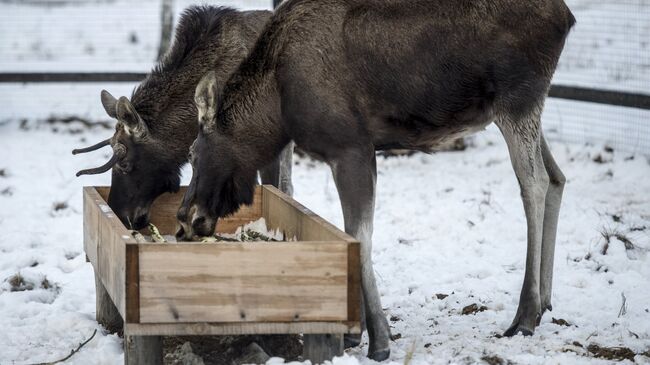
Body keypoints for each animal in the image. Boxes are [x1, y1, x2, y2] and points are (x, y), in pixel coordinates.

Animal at [176, 0, 572, 358]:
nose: (184, 219)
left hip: (517, 101)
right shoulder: (356, 153)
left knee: (534, 183)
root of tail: (566, 17)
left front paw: (378, 339)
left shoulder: (350, 147)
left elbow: (359, 235)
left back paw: (525, 315)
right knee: (557, 176)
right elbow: (350, 233)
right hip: (525, 109)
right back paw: (546, 302)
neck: (276, 108)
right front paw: (356, 331)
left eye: (193, 153)